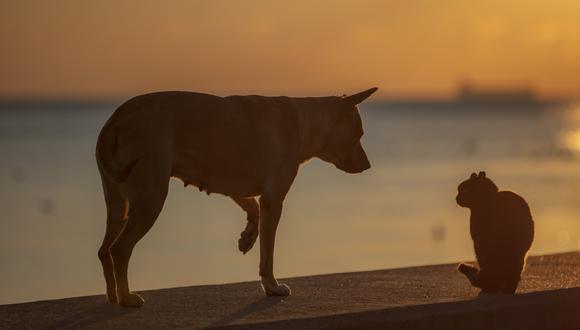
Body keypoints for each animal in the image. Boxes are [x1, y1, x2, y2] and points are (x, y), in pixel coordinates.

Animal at [95, 87, 376, 306]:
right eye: (359, 135)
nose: (368, 165)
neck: (302, 121)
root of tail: (118, 117)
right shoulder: (273, 199)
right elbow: (268, 252)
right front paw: (272, 286)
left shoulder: (230, 183)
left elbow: (252, 208)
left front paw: (247, 237)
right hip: (150, 197)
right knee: (119, 248)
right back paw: (126, 298)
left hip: (117, 201)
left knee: (104, 249)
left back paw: (113, 296)